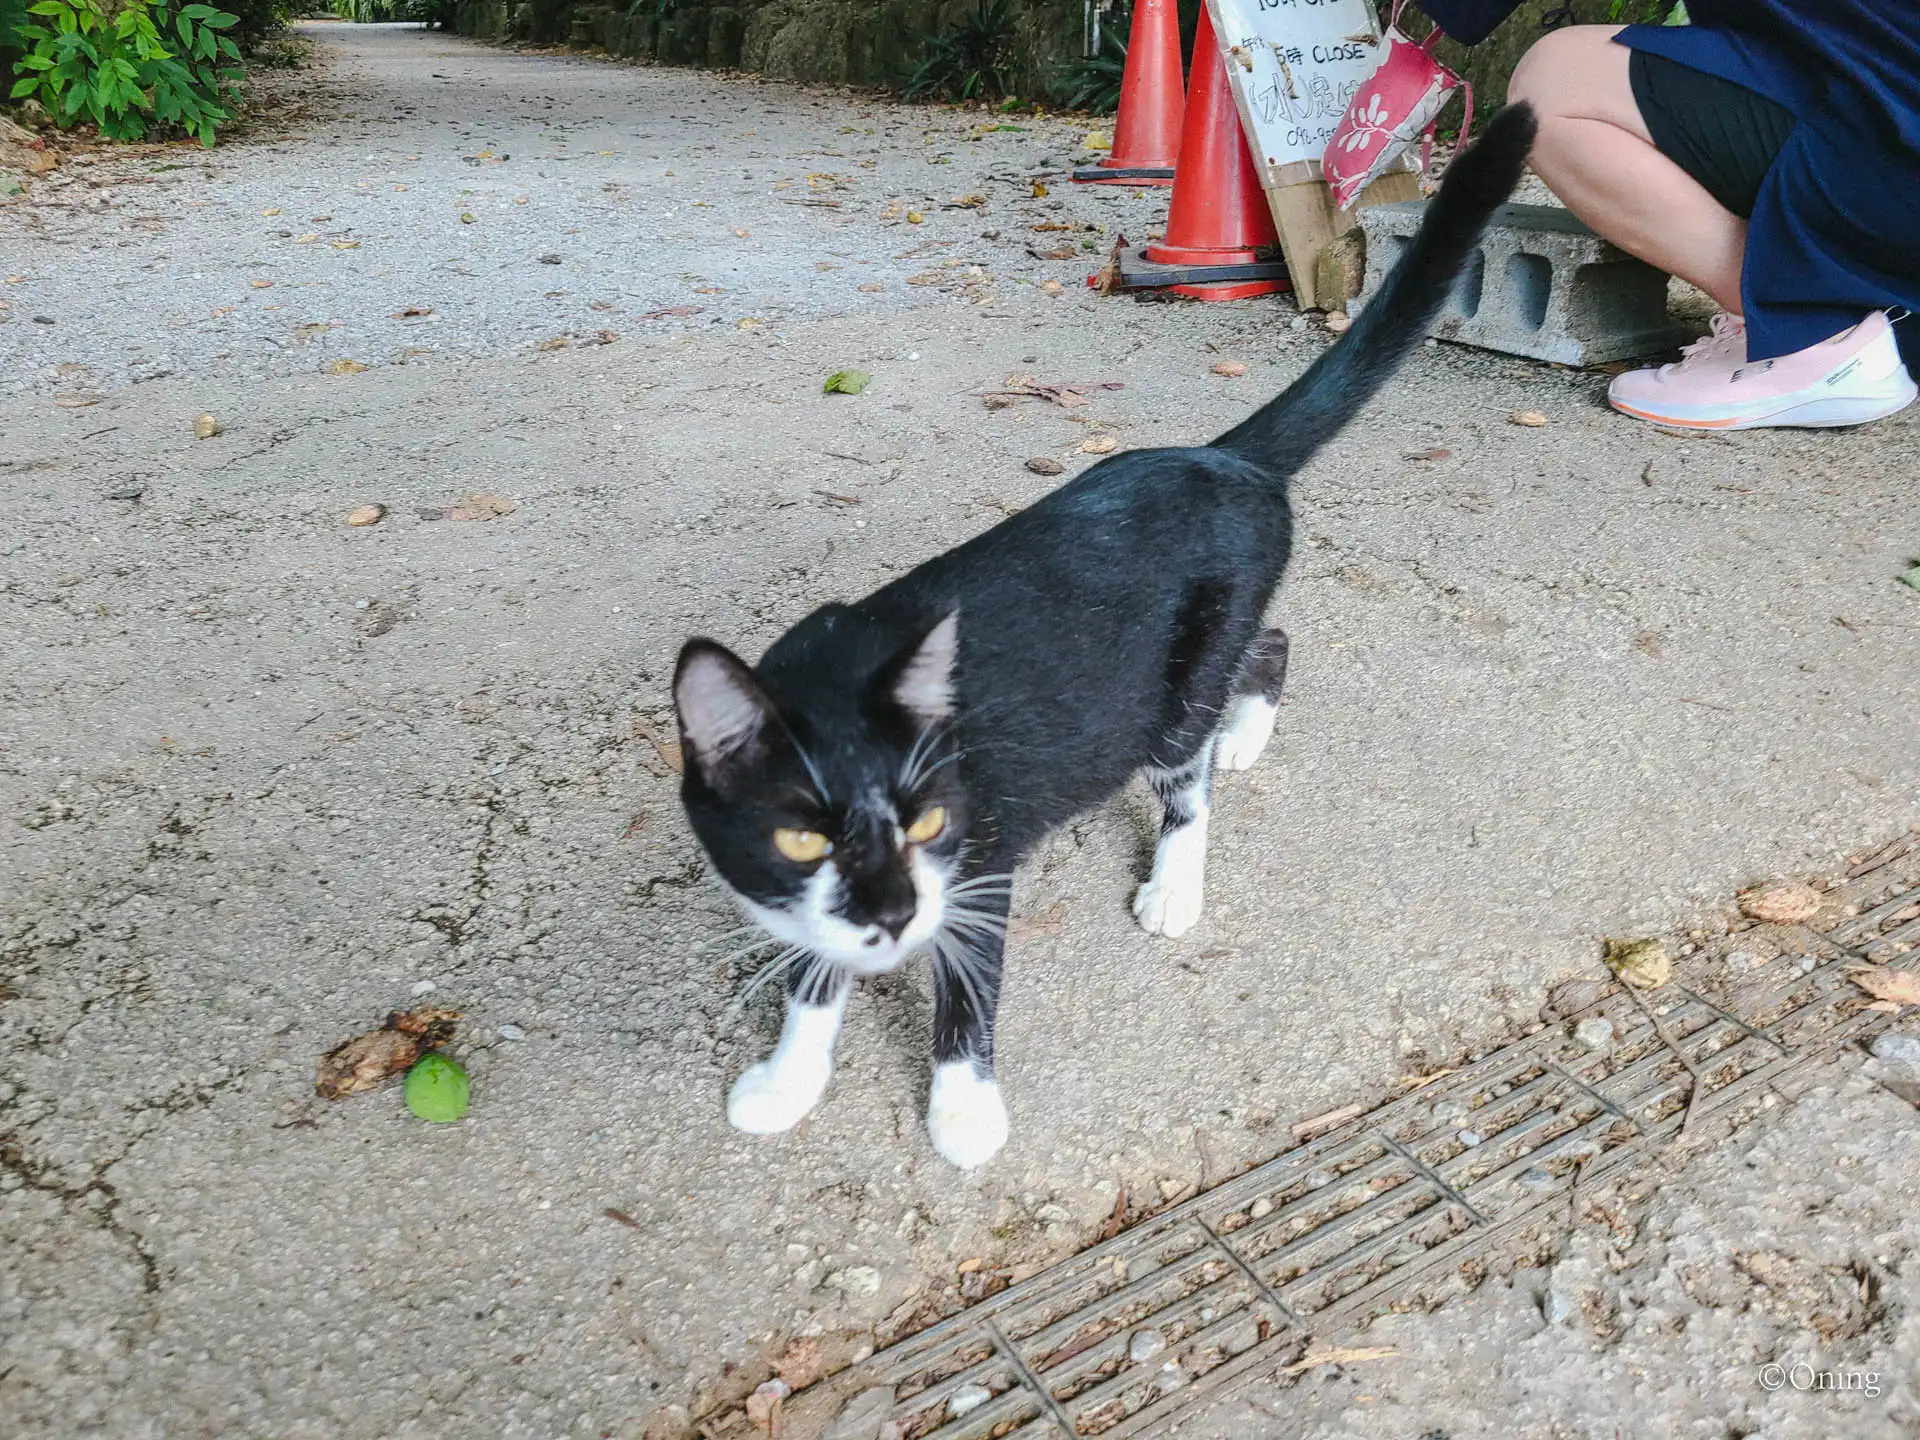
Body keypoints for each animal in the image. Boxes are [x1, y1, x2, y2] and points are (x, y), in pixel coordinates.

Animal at [675, 112, 1543, 1175]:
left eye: (927, 824)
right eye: (803, 836)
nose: (892, 916)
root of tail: (1223, 456)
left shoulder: (980, 857)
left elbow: (969, 985)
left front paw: (964, 1109)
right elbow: (813, 966)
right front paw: (788, 1076)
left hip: (1176, 681)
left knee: (1190, 760)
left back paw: (1182, 864)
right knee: (1271, 640)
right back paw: (1243, 734)